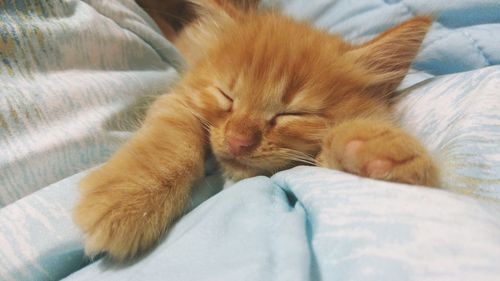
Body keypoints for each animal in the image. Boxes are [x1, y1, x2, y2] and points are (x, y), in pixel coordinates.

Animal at [73, 0, 438, 260]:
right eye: (227, 95)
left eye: (291, 113)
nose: (238, 142)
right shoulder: (180, 96)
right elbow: (172, 134)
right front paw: (127, 199)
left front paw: (377, 150)